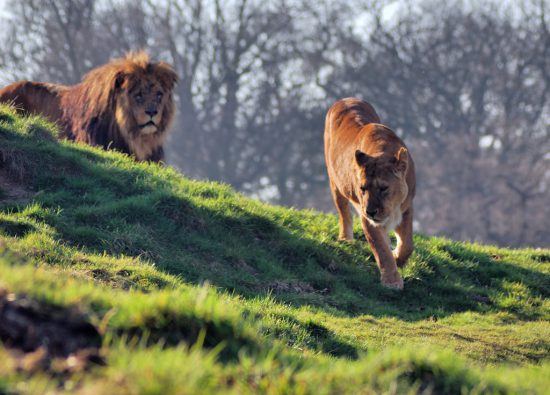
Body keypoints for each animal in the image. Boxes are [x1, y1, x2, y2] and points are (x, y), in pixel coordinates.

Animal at [326, 99, 416, 290]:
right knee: (344, 212)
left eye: (383, 188)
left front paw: (398, 258)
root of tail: (345, 99)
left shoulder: (406, 208)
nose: (371, 211)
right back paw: (346, 239)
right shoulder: (367, 219)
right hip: (335, 182)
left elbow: (407, 244)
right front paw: (391, 281)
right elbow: (380, 249)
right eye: (363, 188)